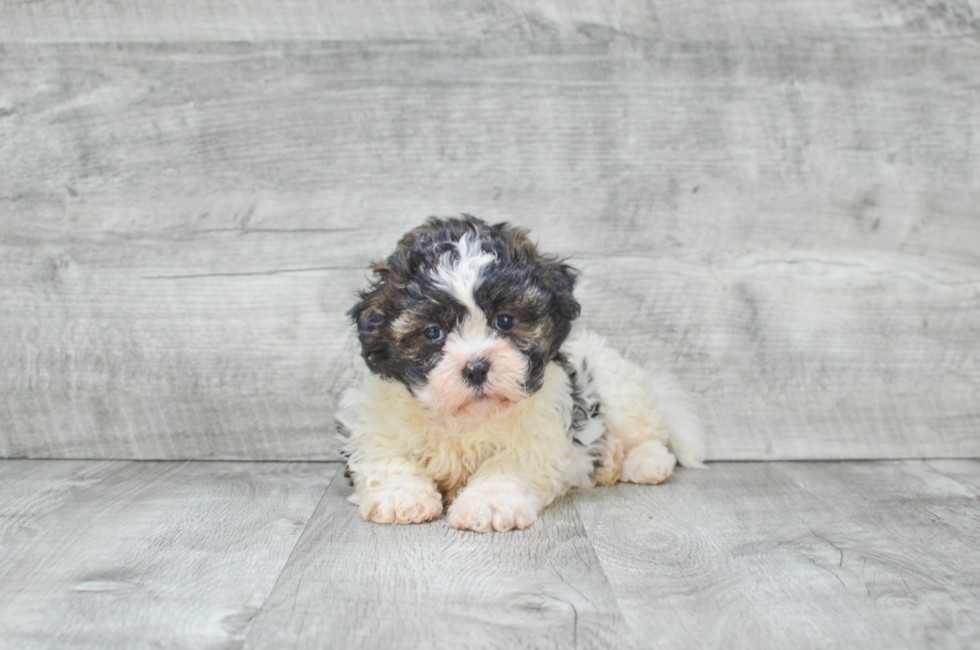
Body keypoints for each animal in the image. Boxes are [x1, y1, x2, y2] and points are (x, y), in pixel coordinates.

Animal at [336, 215, 704, 528]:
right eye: (432, 332)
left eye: (505, 320)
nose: (476, 368)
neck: (466, 418)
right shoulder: (377, 420)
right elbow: (387, 456)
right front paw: (400, 497)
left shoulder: (541, 431)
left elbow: (508, 464)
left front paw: (489, 503)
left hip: (618, 386)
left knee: (647, 432)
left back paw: (644, 462)